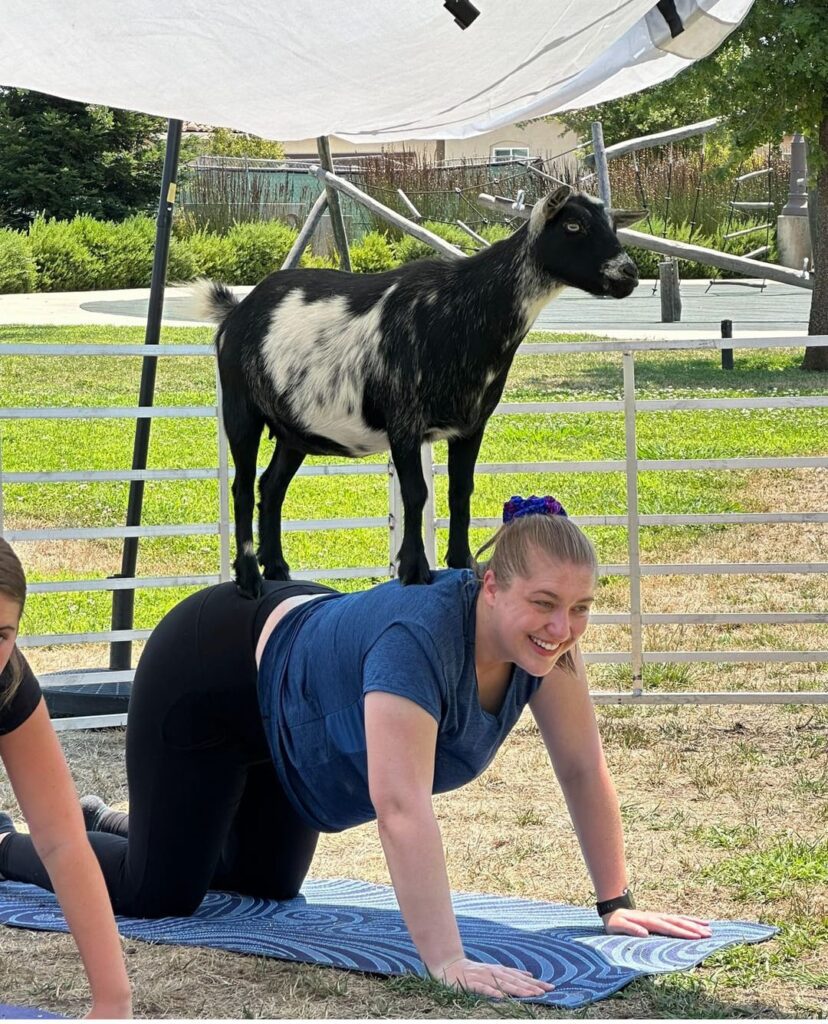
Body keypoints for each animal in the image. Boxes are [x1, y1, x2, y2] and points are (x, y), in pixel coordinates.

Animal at [197, 188, 634, 598]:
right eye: (574, 226)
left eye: (613, 224)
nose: (628, 273)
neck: (463, 308)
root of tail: (235, 312)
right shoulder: (404, 420)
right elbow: (416, 493)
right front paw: (414, 570)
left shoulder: (471, 424)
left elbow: (460, 491)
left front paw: (460, 561)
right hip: (240, 408)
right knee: (241, 487)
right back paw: (250, 578)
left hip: (294, 430)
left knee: (270, 487)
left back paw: (277, 569)